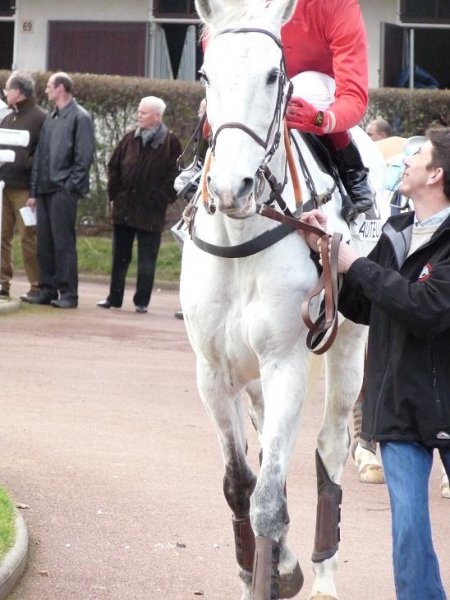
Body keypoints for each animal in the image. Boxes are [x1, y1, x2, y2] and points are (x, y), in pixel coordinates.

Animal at [181, 1, 384, 600]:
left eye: (274, 75)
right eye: (205, 73)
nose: (231, 187)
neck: (240, 237)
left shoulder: (286, 362)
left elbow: (268, 501)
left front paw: (280, 573)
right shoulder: (213, 372)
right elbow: (240, 484)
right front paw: (263, 569)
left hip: (349, 345)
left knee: (330, 447)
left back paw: (323, 575)